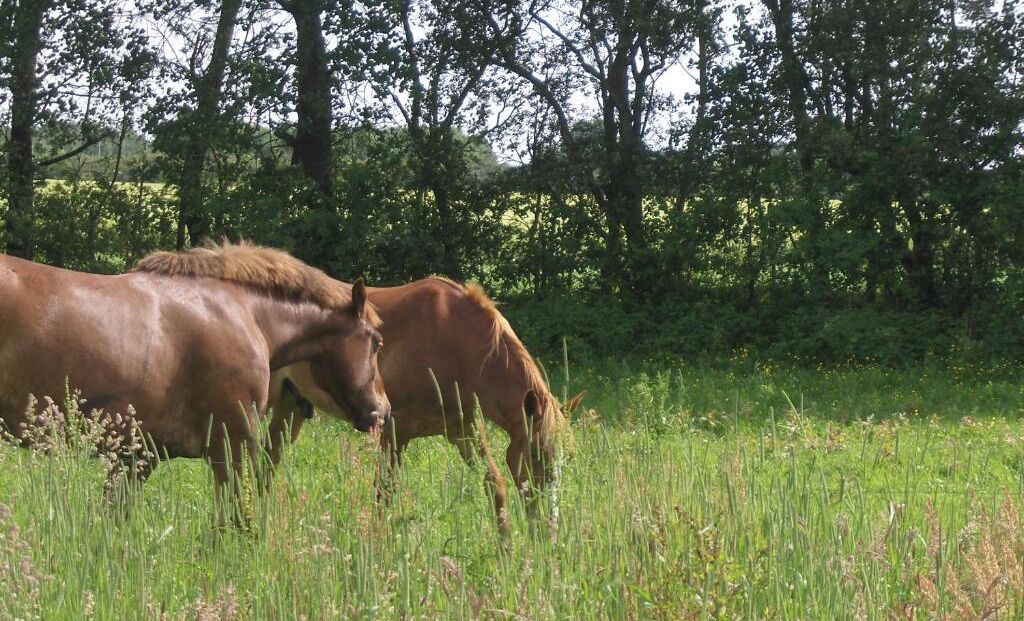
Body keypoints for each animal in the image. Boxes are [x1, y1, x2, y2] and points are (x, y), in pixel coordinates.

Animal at [0, 242, 389, 525]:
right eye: (376, 342)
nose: (382, 409)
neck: (245, 314)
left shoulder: (137, 457)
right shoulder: (232, 448)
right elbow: (235, 521)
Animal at [268, 277, 583, 532]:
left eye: (567, 458)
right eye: (536, 454)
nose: (549, 529)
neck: (453, 341)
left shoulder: (463, 430)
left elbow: (494, 482)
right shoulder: (394, 429)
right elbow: (385, 491)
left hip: (290, 406)